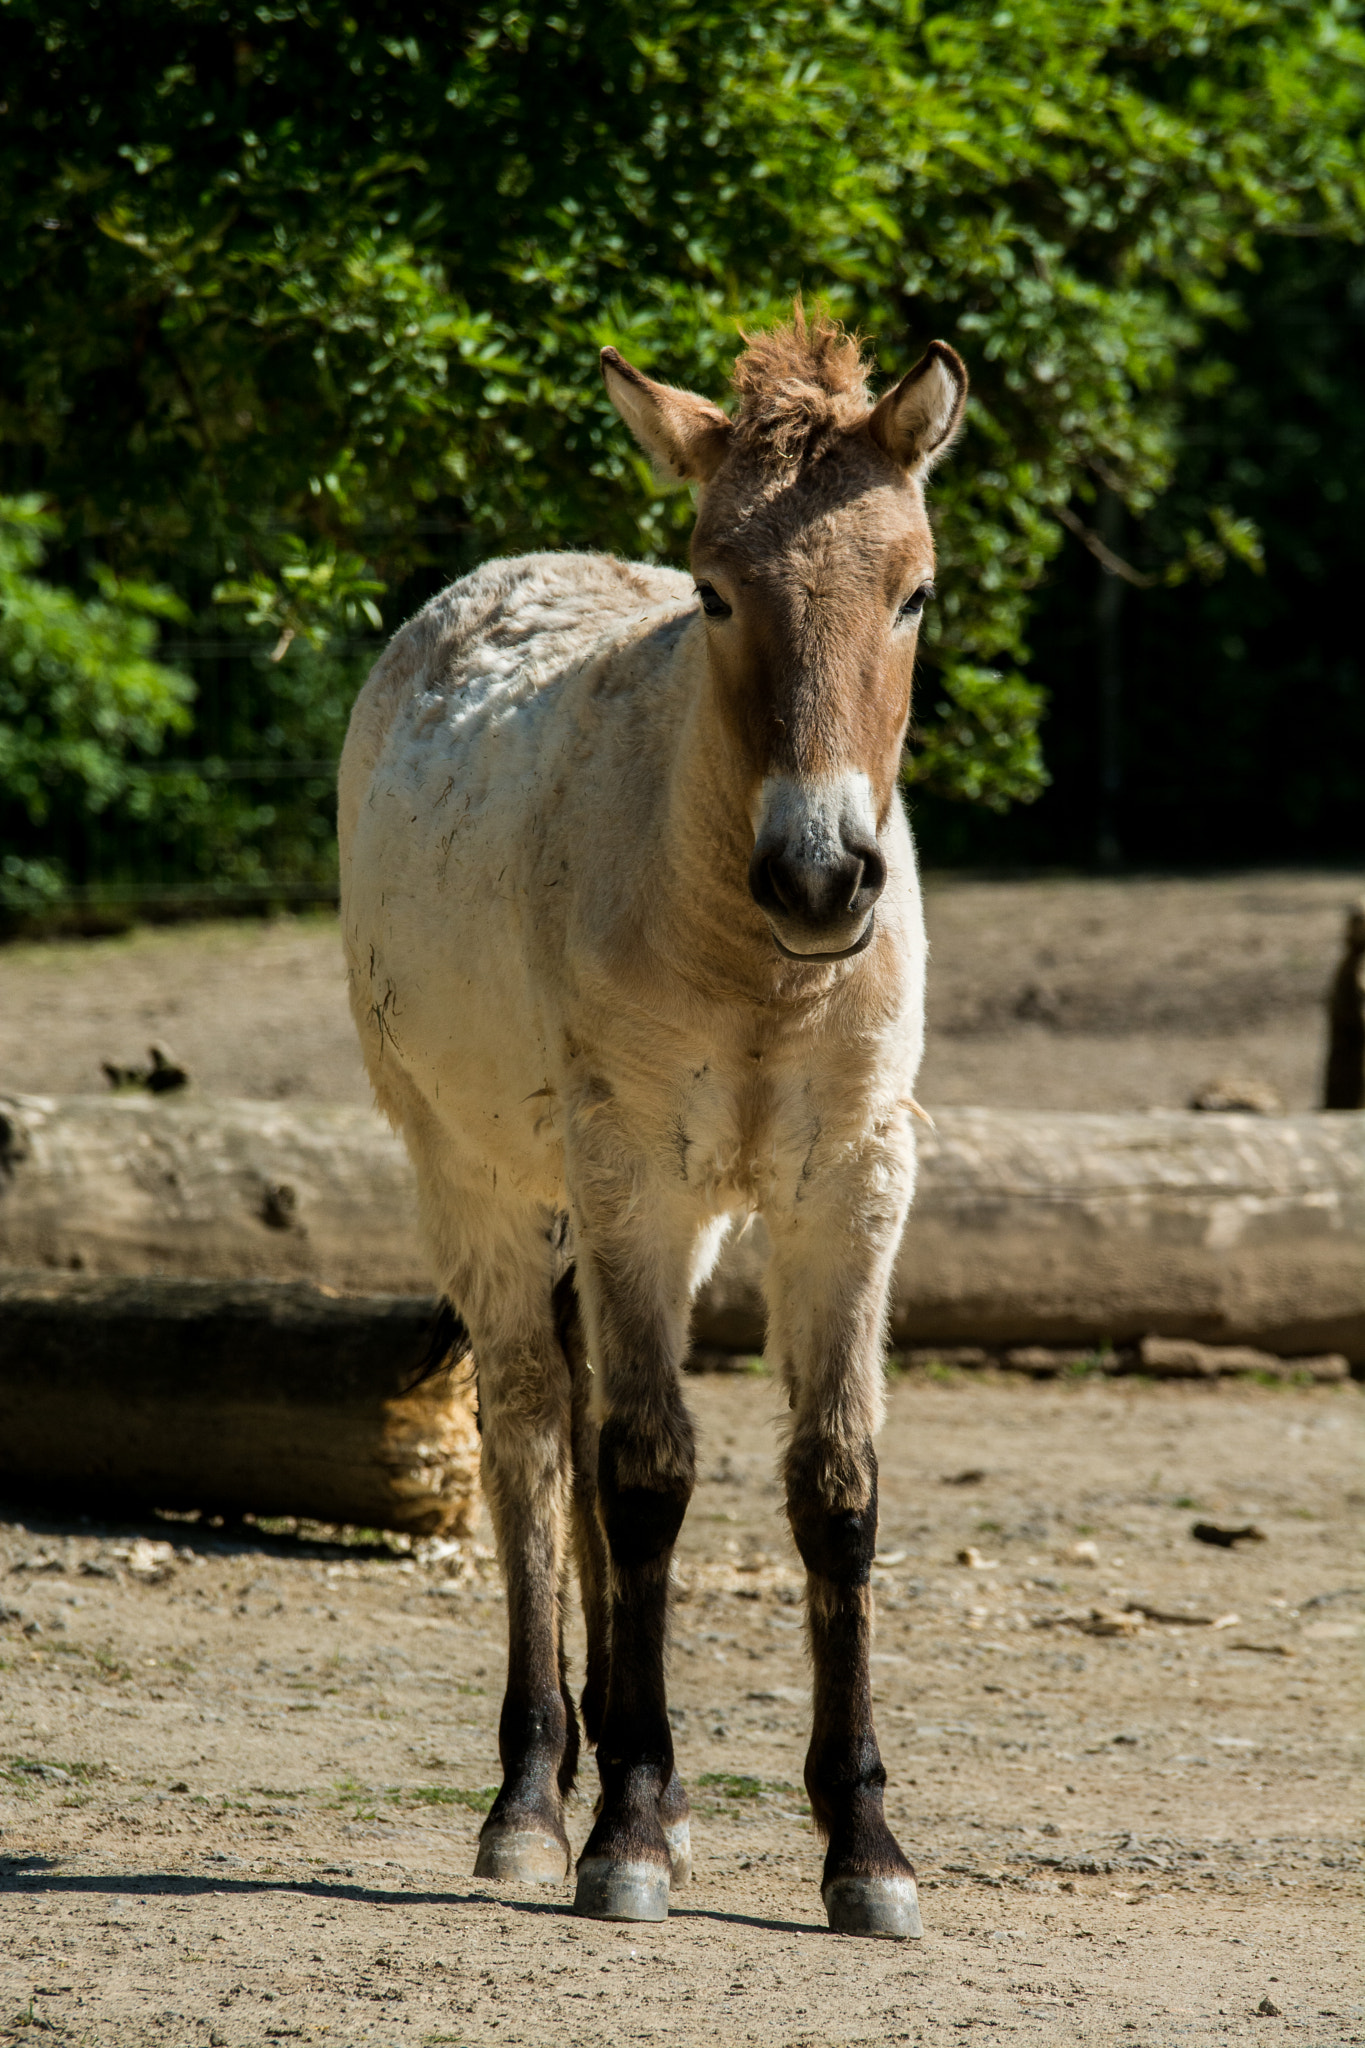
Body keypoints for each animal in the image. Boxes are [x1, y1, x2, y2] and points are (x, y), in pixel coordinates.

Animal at [337, 309, 967, 1937]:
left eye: (914, 592)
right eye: (713, 589)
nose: (823, 876)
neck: (759, 961)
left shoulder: (848, 1186)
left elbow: (836, 1485)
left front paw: (864, 1849)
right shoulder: (628, 1170)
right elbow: (645, 1473)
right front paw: (615, 1833)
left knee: (584, 1417)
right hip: (483, 1179)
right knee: (531, 1428)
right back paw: (533, 1797)